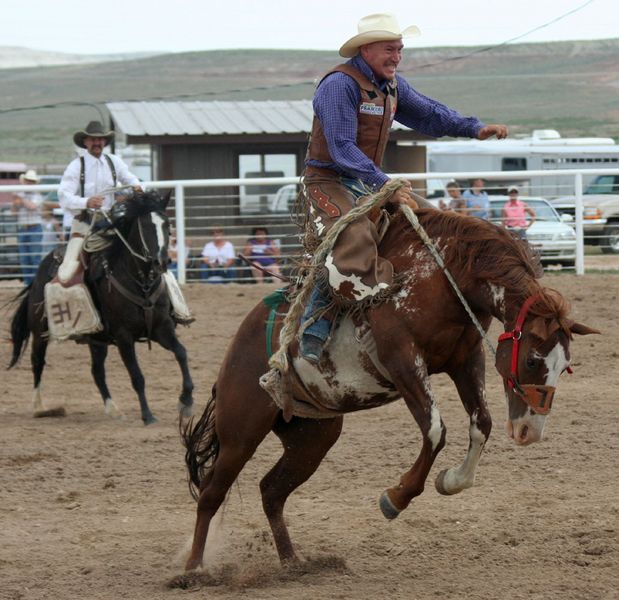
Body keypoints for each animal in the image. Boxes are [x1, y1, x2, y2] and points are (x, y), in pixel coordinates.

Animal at [182, 209, 600, 568]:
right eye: (532, 361)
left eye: (565, 367)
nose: (530, 431)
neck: (442, 276)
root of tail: (239, 343)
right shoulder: (403, 362)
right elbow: (435, 430)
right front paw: (396, 497)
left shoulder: (465, 359)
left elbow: (481, 422)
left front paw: (451, 481)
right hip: (241, 432)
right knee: (212, 492)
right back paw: (193, 569)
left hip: (312, 436)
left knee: (271, 490)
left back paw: (292, 563)